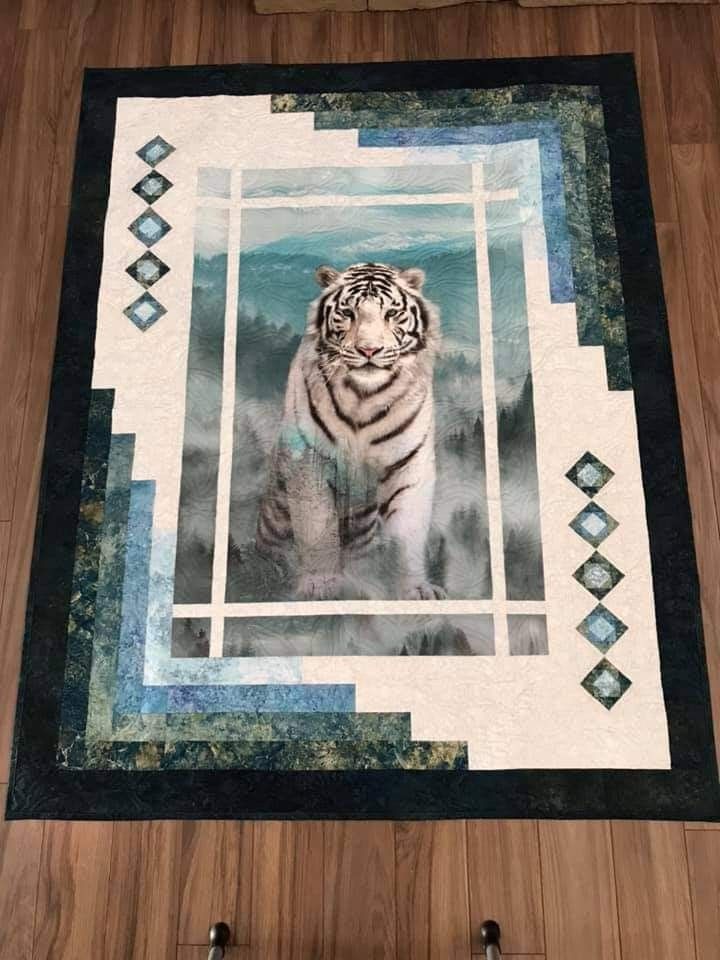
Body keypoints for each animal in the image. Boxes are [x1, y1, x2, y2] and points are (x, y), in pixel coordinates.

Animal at [256, 258, 442, 596]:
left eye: (391, 313)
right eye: (348, 313)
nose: (369, 350)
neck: (364, 396)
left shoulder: (409, 463)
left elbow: (406, 534)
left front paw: (415, 590)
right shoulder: (310, 459)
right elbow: (316, 526)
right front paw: (320, 584)